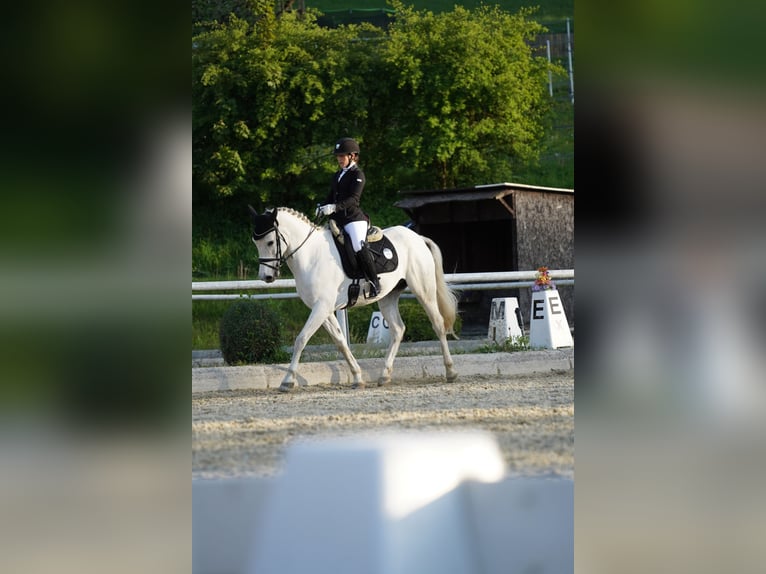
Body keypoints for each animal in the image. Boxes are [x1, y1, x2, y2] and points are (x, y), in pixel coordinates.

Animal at [249, 206, 460, 392]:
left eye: (270, 242)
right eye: (255, 242)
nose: (266, 277)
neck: (311, 255)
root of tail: (417, 238)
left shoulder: (321, 307)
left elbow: (301, 339)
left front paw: (287, 381)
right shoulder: (323, 309)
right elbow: (340, 341)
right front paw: (358, 378)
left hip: (423, 290)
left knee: (438, 323)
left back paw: (451, 372)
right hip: (388, 297)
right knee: (398, 329)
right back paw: (384, 376)